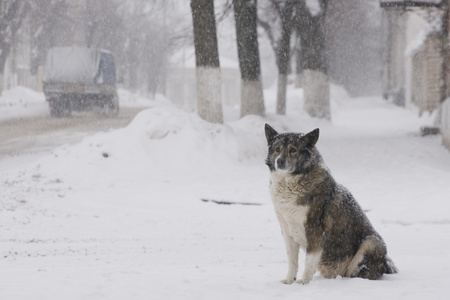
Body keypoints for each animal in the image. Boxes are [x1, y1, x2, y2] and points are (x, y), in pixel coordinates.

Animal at [264, 123, 398, 284]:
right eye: (277, 149)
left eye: (293, 150)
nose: (280, 161)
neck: (291, 183)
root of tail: (386, 263)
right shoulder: (287, 230)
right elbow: (292, 260)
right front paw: (290, 280)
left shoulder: (315, 229)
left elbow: (309, 261)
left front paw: (304, 282)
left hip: (371, 243)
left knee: (356, 272)